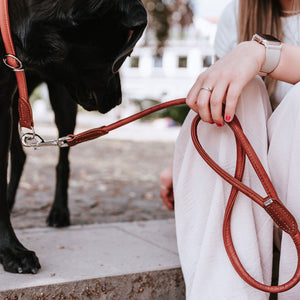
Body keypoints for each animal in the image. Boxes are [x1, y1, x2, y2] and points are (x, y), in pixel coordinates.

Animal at [0, 0, 146, 274]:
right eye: (128, 54)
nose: (119, 99)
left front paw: (12, 251)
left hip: (58, 100)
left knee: (62, 161)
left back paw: (59, 212)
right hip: (17, 103)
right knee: (20, 156)